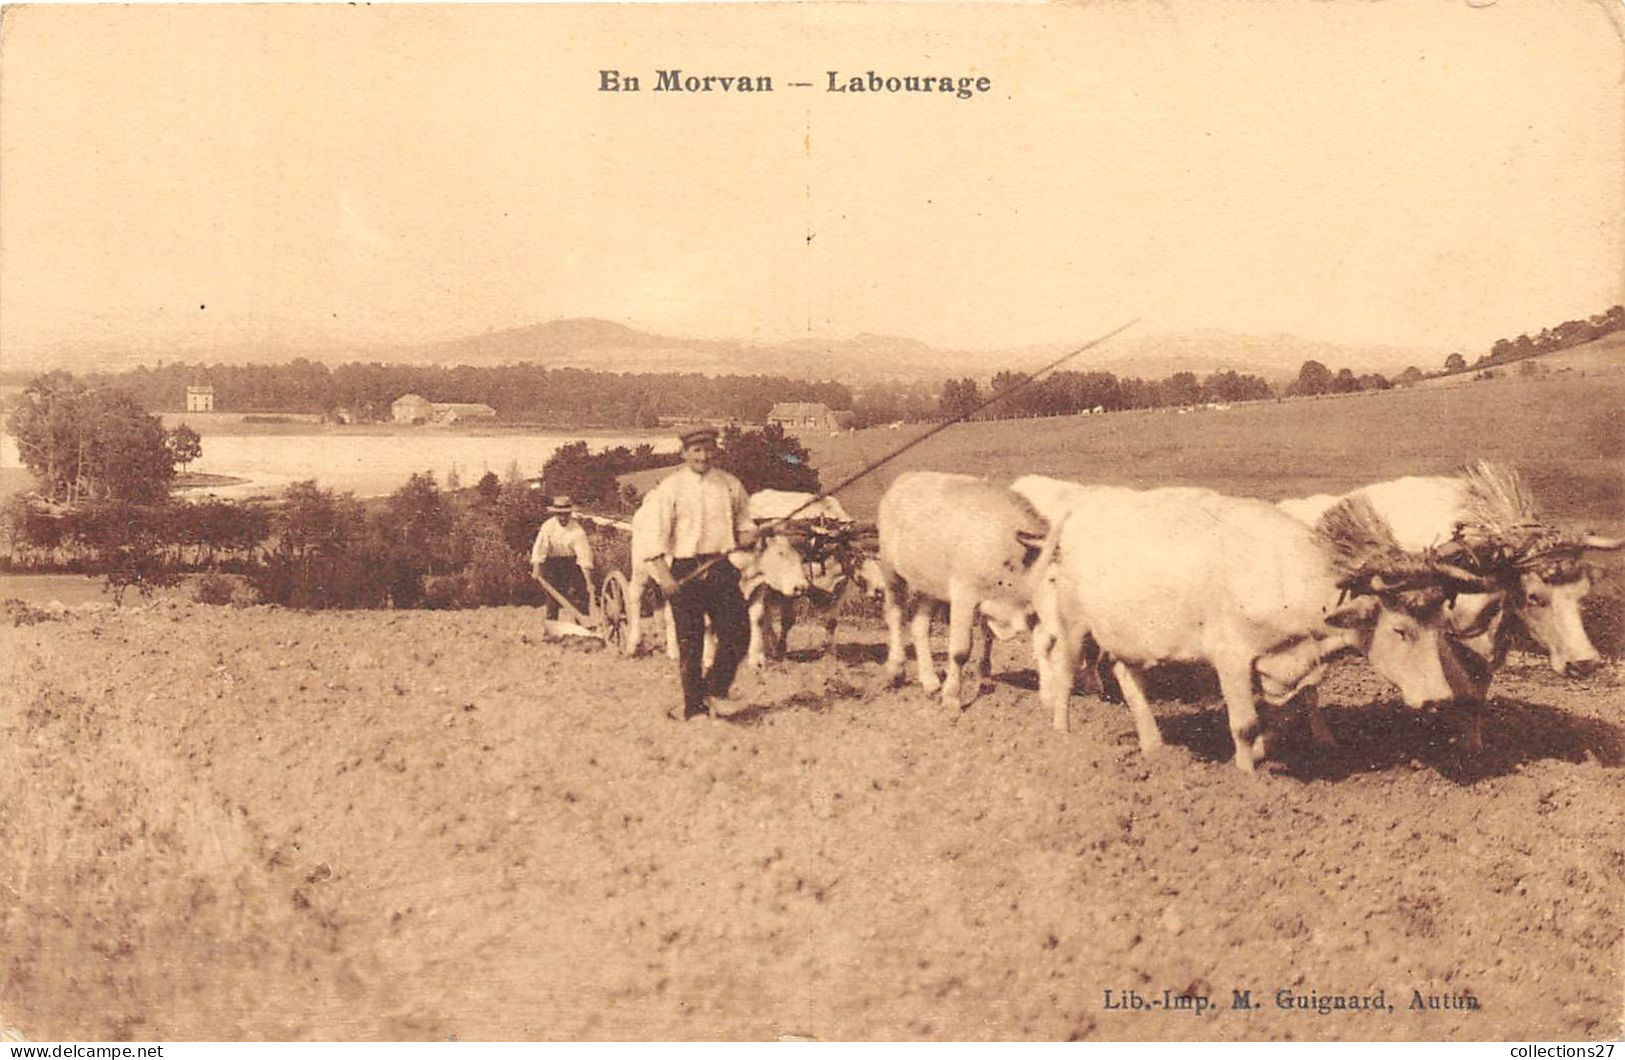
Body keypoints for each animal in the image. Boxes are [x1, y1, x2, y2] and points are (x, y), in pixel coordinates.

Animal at [884, 471, 1046, 702]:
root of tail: (907, 476)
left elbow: (991, 637)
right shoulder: (964, 595)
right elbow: (960, 650)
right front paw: (952, 697)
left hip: (930, 585)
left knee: (919, 626)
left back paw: (929, 681)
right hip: (891, 571)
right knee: (895, 616)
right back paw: (896, 670)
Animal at [1020, 477, 1488, 770]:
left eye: (1440, 626)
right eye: (1399, 630)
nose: (1439, 698)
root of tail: (1083, 506)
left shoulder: (1286, 665)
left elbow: (1286, 713)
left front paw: (1265, 750)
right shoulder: (1231, 657)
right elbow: (1244, 724)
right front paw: (1248, 776)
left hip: (1130, 634)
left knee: (1127, 676)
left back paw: (1156, 747)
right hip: (1073, 621)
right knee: (1064, 671)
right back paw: (1064, 736)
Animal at [1280, 464, 1612, 754]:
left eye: (1583, 594)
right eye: (1534, 596)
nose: (1584, 663)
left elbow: (1479, 692)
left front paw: (1472, 742)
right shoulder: (1442, 638)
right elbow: (1465, 692)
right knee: (1309, 687)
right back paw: (1323, 737)